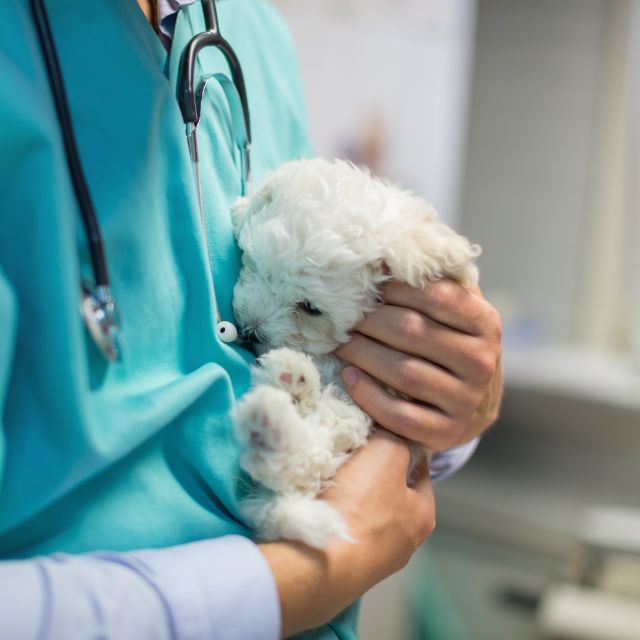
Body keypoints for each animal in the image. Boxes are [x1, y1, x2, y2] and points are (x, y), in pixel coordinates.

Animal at [232, 158, 478, 548]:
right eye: (256, 266)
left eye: (310, 308)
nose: (250, 331)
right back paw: (290, 383)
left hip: (349, 420)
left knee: (306, 462)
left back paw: (276, 414)